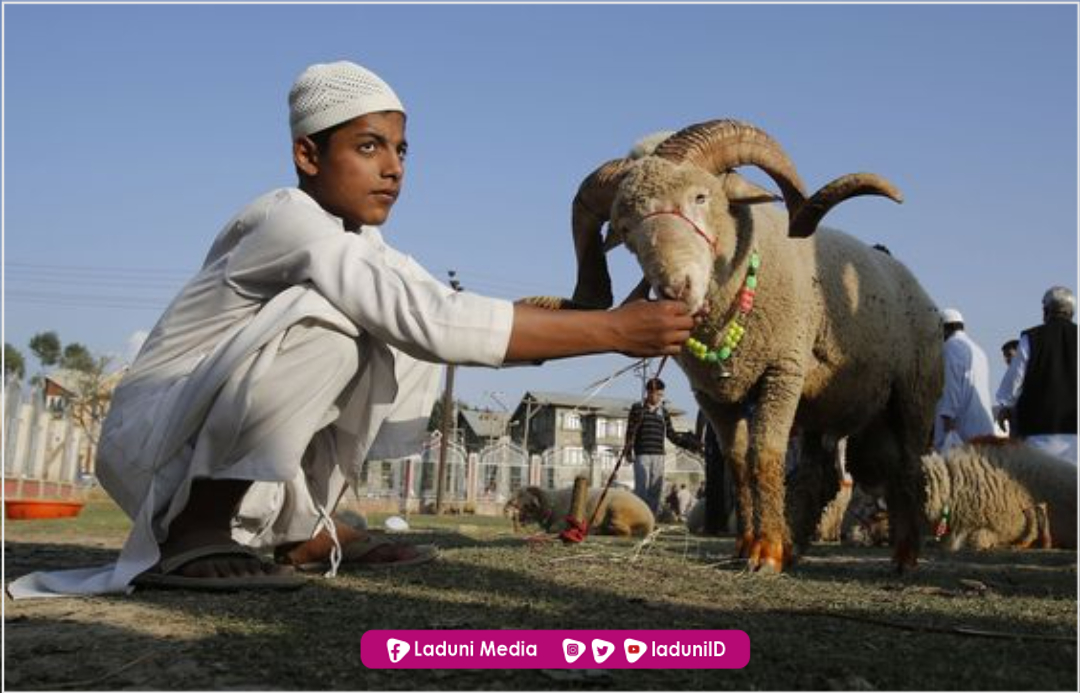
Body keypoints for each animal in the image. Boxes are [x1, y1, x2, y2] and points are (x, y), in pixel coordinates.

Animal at [507, 483, 656, 537]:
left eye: (524, 497)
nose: (509, 505)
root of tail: (650, 519)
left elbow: (553, 528)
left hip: (617, 509)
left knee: (625, 531)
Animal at [552, 119, 941, 569]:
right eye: (626, 229)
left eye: (701, 196)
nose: (674, 290)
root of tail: (916, 287)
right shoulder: (714, 396)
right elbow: (738, 464)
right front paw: (748, 545)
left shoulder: (782, 372)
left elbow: (765, 455)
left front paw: (767, 551)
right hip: (827, 407)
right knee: (820, 475)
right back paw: (798, 545)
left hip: (913, 396)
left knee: (908, 468)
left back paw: (905, 555)